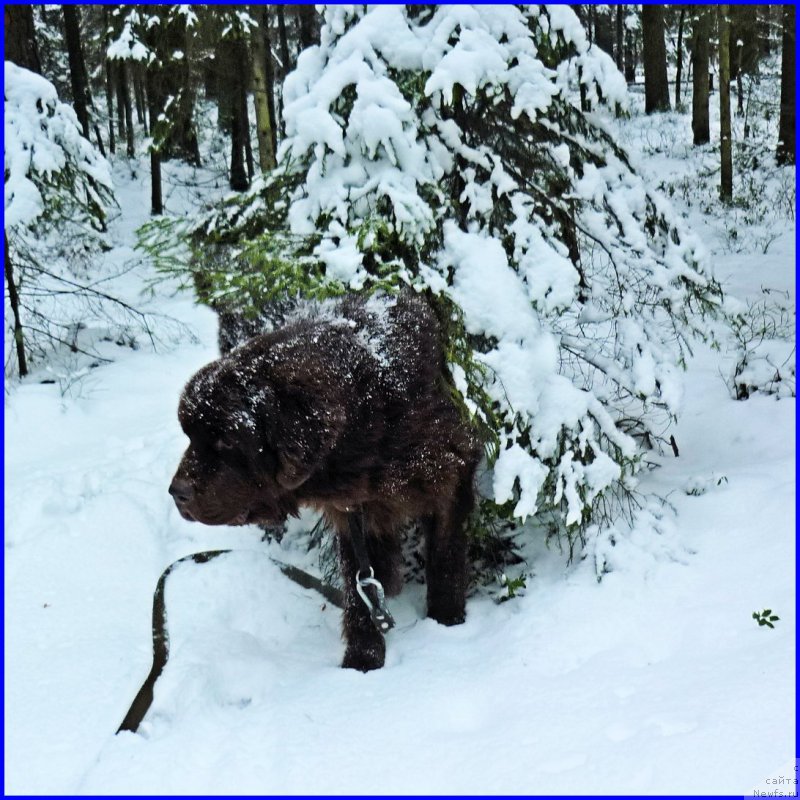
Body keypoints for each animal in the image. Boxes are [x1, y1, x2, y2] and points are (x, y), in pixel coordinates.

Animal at [170, 294, 478, 668]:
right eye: (190, 436)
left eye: (227, 441)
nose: (176, 493)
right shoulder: (355, 514)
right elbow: (361, 590)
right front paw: (363, 660)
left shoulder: (450, 475)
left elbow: (445, 559)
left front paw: (447, 624)